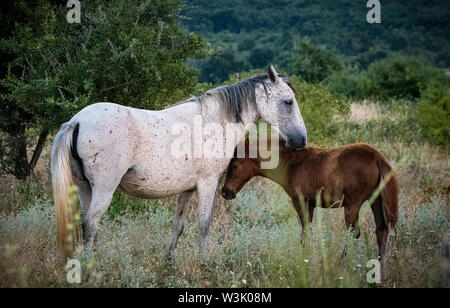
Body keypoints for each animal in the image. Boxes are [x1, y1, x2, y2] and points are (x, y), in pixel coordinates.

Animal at [51, 65, 308, 262]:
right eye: (288, 102)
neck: (212, 122)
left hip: (85, 189)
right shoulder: (208, 184)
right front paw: (206, 263)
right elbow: (204, 224)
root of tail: (76, 121)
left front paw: (169, 261)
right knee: (90, 226)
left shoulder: (187, 190)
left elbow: (178, 226)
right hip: (104, 190)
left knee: (88, 226)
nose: (301, 140)